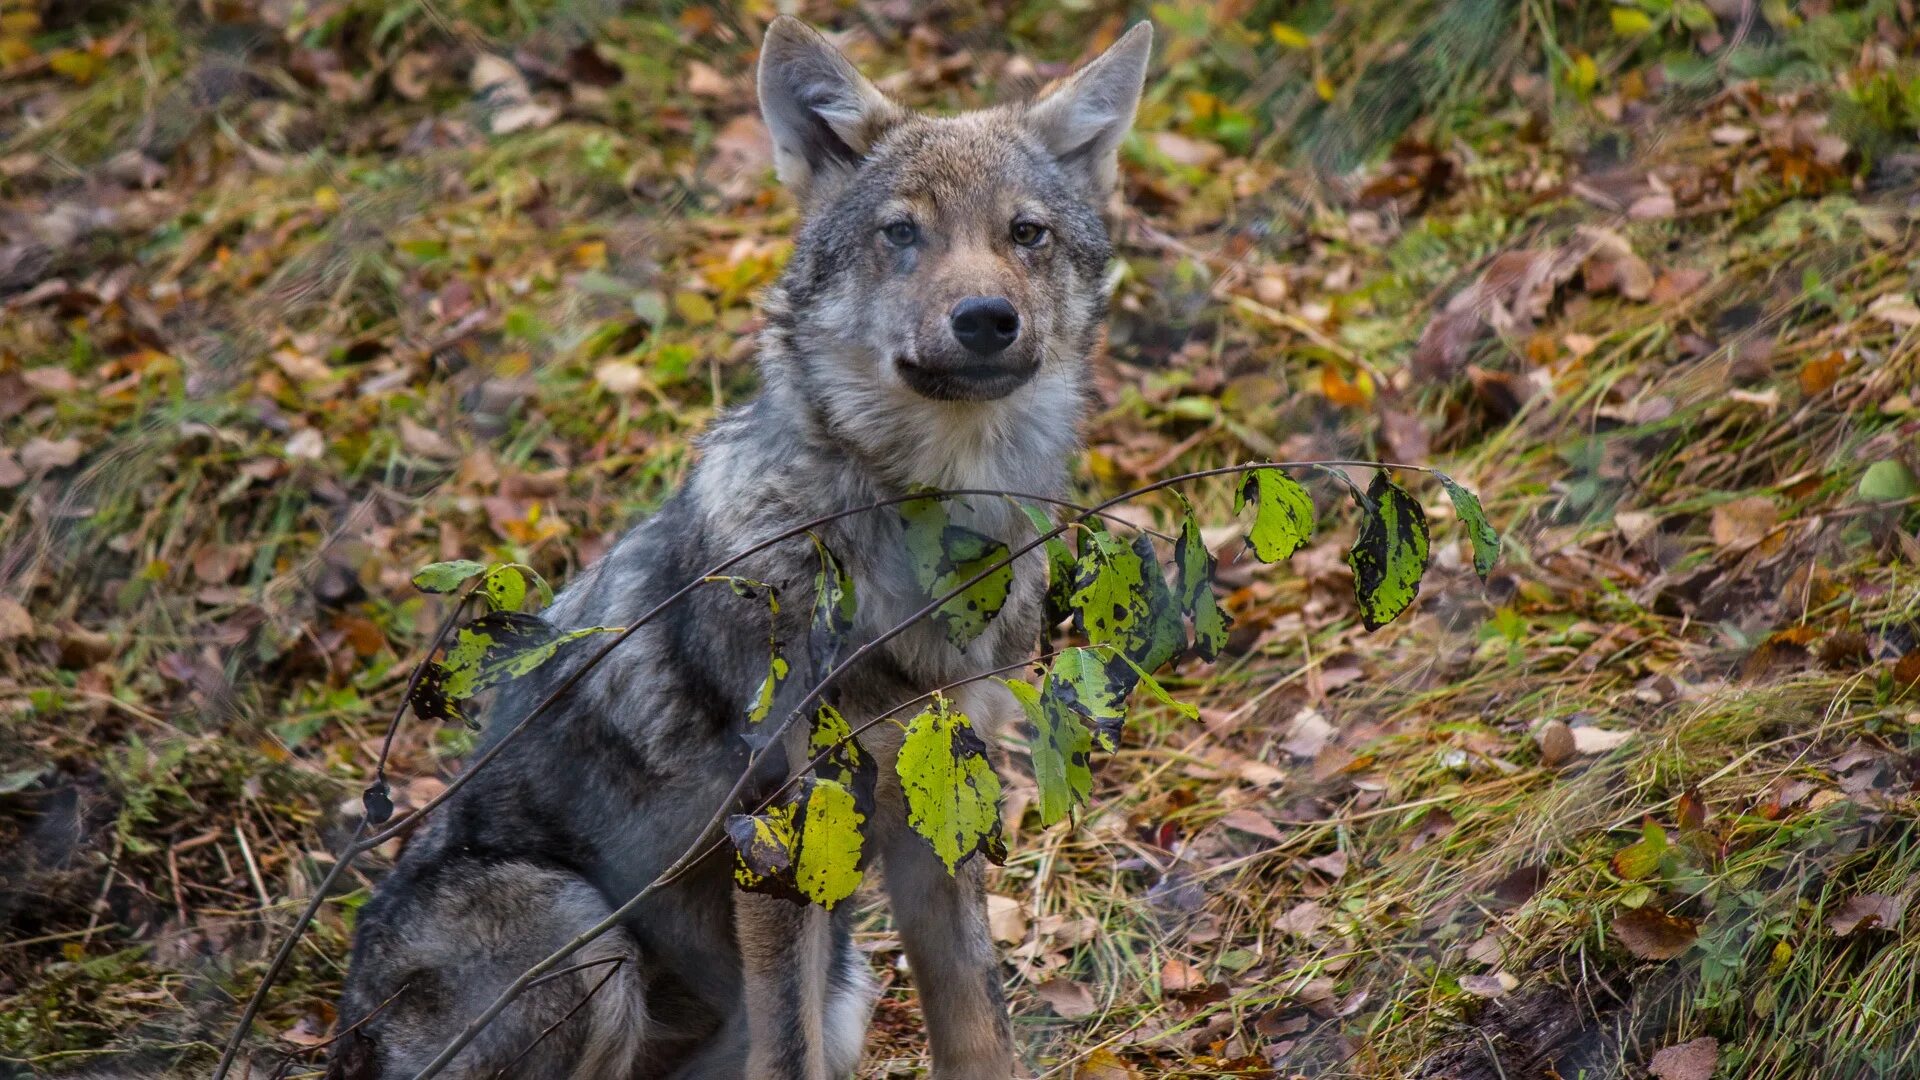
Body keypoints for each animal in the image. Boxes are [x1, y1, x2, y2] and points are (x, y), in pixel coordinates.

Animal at [326, 18, 1152, 1076]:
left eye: (1026, 233)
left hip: (842, 984)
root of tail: (347, 1028)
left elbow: (979, 1027)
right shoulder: (782, 840)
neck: (921, 534)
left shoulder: (938, 807)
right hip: (584, 934)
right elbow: (790, 1054)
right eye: (902, 233)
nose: (985, 320)